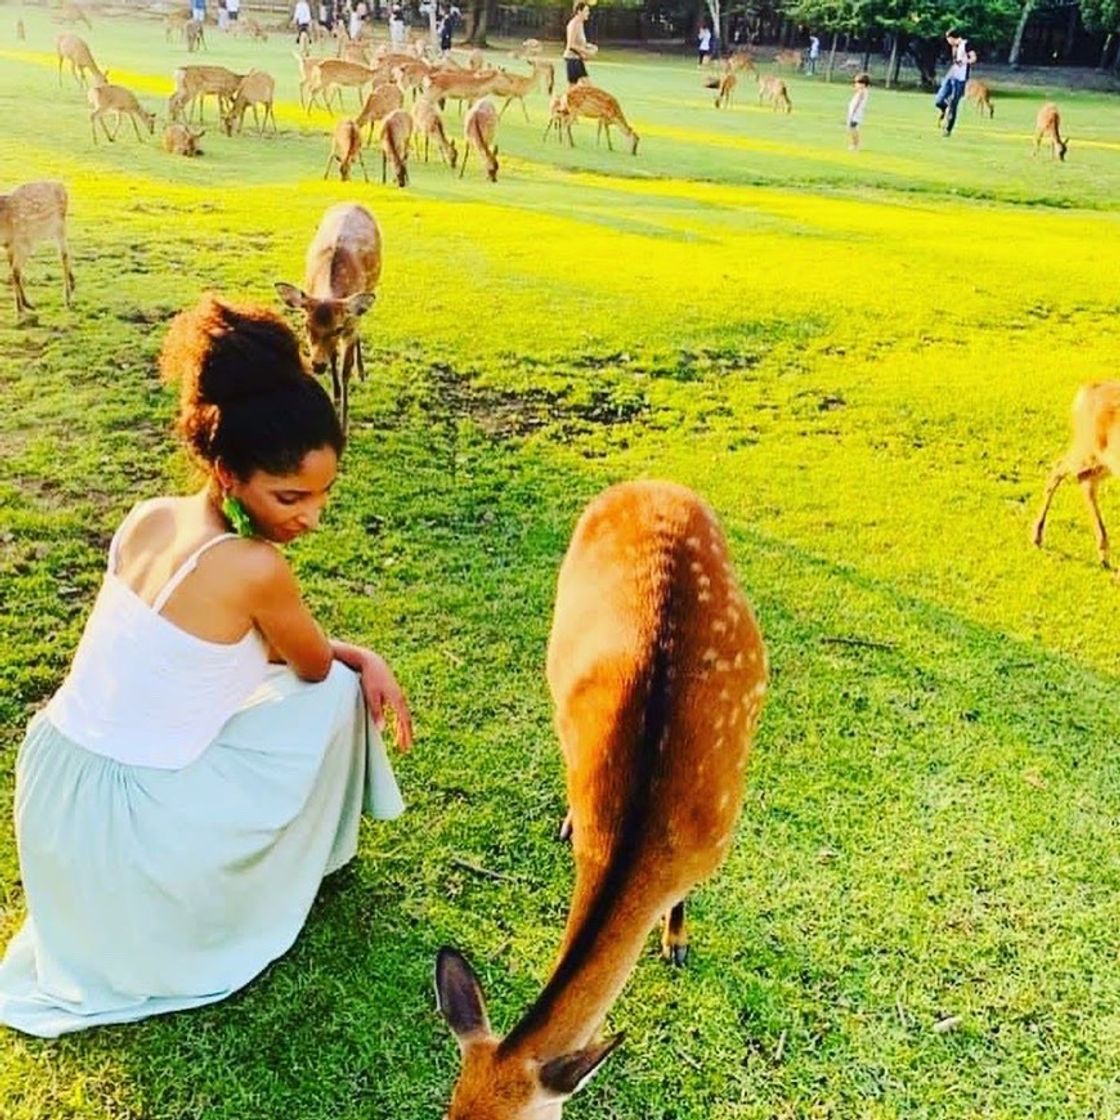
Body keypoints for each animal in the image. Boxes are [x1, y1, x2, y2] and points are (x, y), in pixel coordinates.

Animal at [0, 179, 76, 320]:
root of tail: (63, 188)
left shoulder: (22, 243)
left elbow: (15, 272)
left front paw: (21, 310)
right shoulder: (10, 246)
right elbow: (15, 272)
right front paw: (25, 305)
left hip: (59, 227)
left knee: (63, 254)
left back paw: (68, 298)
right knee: (64, 254)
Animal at [276, 199, 383, 430]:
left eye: (337, 328)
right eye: (306, 326)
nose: (317, 364)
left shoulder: (350, 324)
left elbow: (345, 371)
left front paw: (344, 424)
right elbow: (333, 358)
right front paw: (335, 398)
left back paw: (362, 372)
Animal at [1030, 383, 1120, 568]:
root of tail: (1085, 391)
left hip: (1102, 461)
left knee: (1085, 482)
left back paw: (1103, 555)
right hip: (1089, 450)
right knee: (1059, 468)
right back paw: (1037, 537)